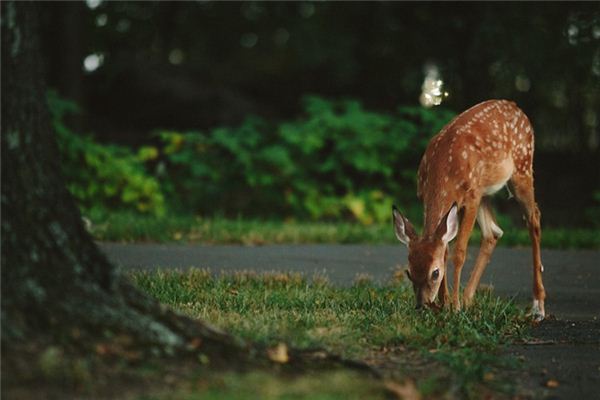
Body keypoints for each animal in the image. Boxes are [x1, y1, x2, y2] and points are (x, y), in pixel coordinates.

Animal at [392, 98, 548, 320]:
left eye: (435, 273)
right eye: (409, 272)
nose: (422, 305)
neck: (443, 171)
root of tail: (515, 106)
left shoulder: (471, 198)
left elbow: (459, 252)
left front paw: (454, 306)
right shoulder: (427, 196)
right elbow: (445, 248)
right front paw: (445, 304)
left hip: (522, 167)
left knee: (534, 218)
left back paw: (538, 306)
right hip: (486, 191)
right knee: (493, 232)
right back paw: (468, 299)